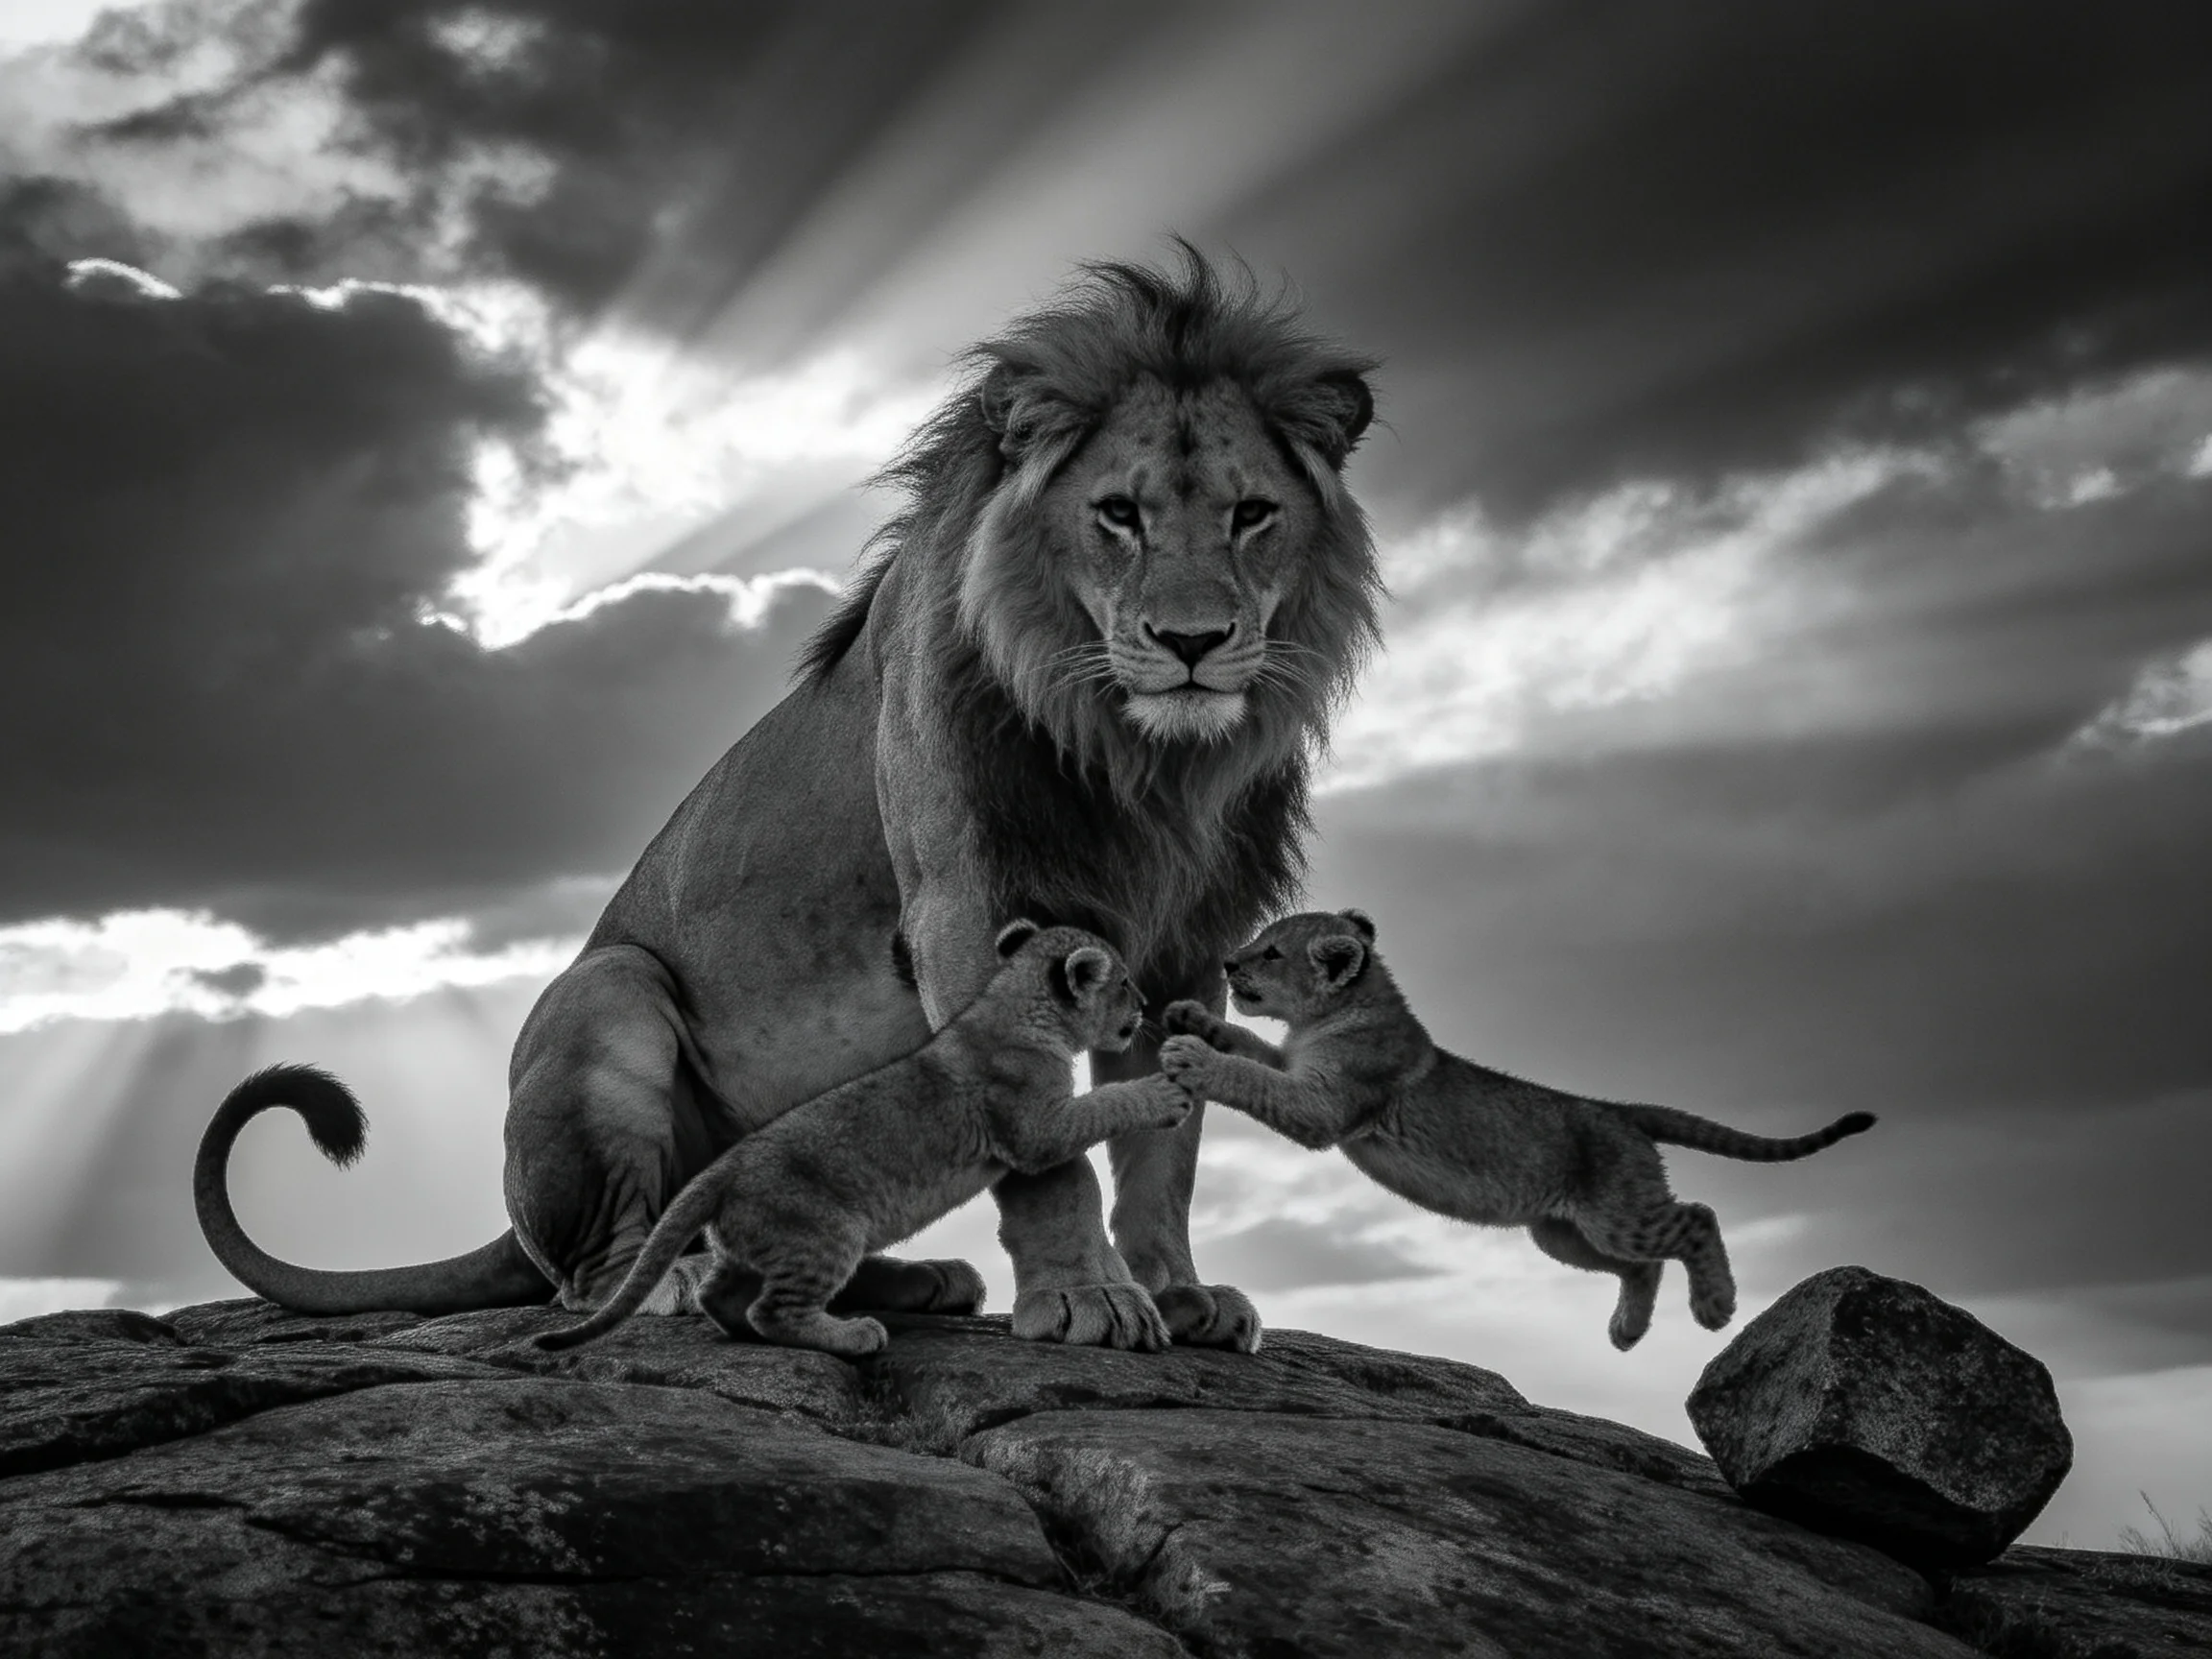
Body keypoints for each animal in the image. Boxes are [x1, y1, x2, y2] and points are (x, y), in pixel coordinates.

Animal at [194, 245, 1381, 1353]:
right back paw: (666, 1285)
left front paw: (1179, 1295)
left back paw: (907, 1281)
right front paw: (1086, 1299)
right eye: (1118, 515)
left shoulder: (1185, 939)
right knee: (588, 1267)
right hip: (613, 991)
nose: (1193, 643)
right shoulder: (964, 911)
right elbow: (1048, 1150)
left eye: (1253, 514)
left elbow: (1164, 1152)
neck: (1139, 757)